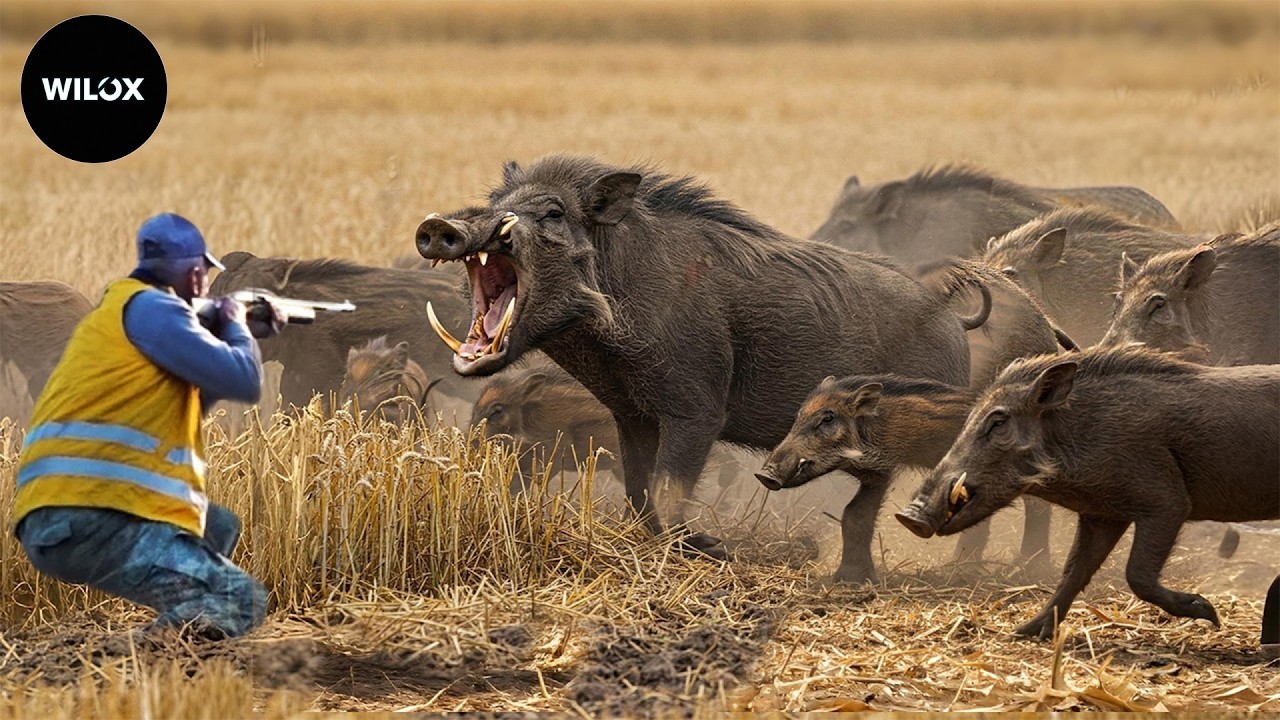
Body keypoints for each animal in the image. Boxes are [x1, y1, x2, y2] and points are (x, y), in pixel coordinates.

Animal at [897, 346, 1279, 638]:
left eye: (998, 422)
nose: (908, 517)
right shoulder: (1102, 514)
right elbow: (1073, 572)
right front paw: (1025, 632)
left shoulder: (1166, 503)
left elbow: (1137, 575)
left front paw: (1209, 613)